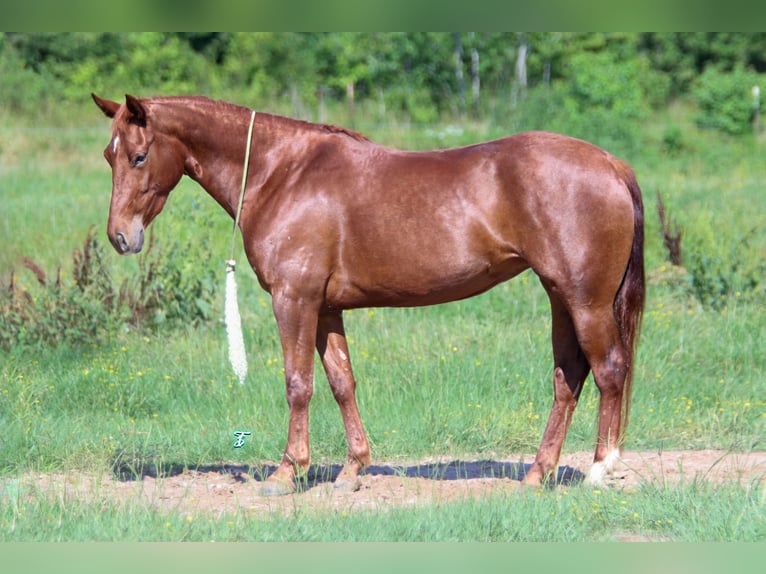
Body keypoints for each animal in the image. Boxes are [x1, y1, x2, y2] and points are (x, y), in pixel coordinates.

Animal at [93, 93, 644, 496]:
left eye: (139, 156)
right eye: (108, 155)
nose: (120, 237)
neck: (282, 173)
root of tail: (612, 164)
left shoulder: (294, 300)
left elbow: (298, 384)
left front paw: (287, 472)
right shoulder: (326, 309)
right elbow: (342, 382)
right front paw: (352, 470)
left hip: (585, 301)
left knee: (609, 369)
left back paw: (601, 469)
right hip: (560, 298)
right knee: (568, 378)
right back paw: (537, 474)